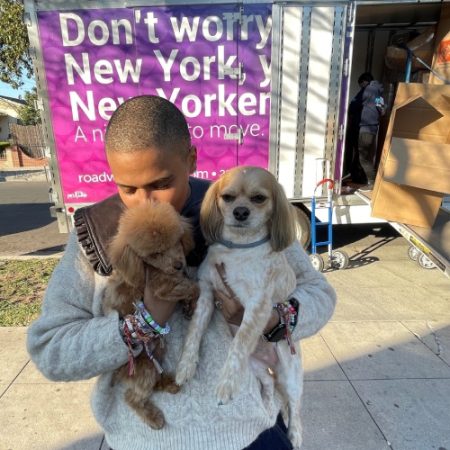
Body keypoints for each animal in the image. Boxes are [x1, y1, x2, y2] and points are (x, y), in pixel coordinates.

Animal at [178, 166, 304, 450]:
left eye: (259, 198)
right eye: (228, 197)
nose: (241, 212)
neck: (239, 249)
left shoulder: (257, 305)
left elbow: (238, 345)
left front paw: (225, 384)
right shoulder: (207, 291)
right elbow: (193, 333)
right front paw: (185, 365)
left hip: (291, 375)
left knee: (294, 404)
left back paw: (295, 434)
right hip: (255, 367)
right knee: (269, 384)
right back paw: (267, 407)